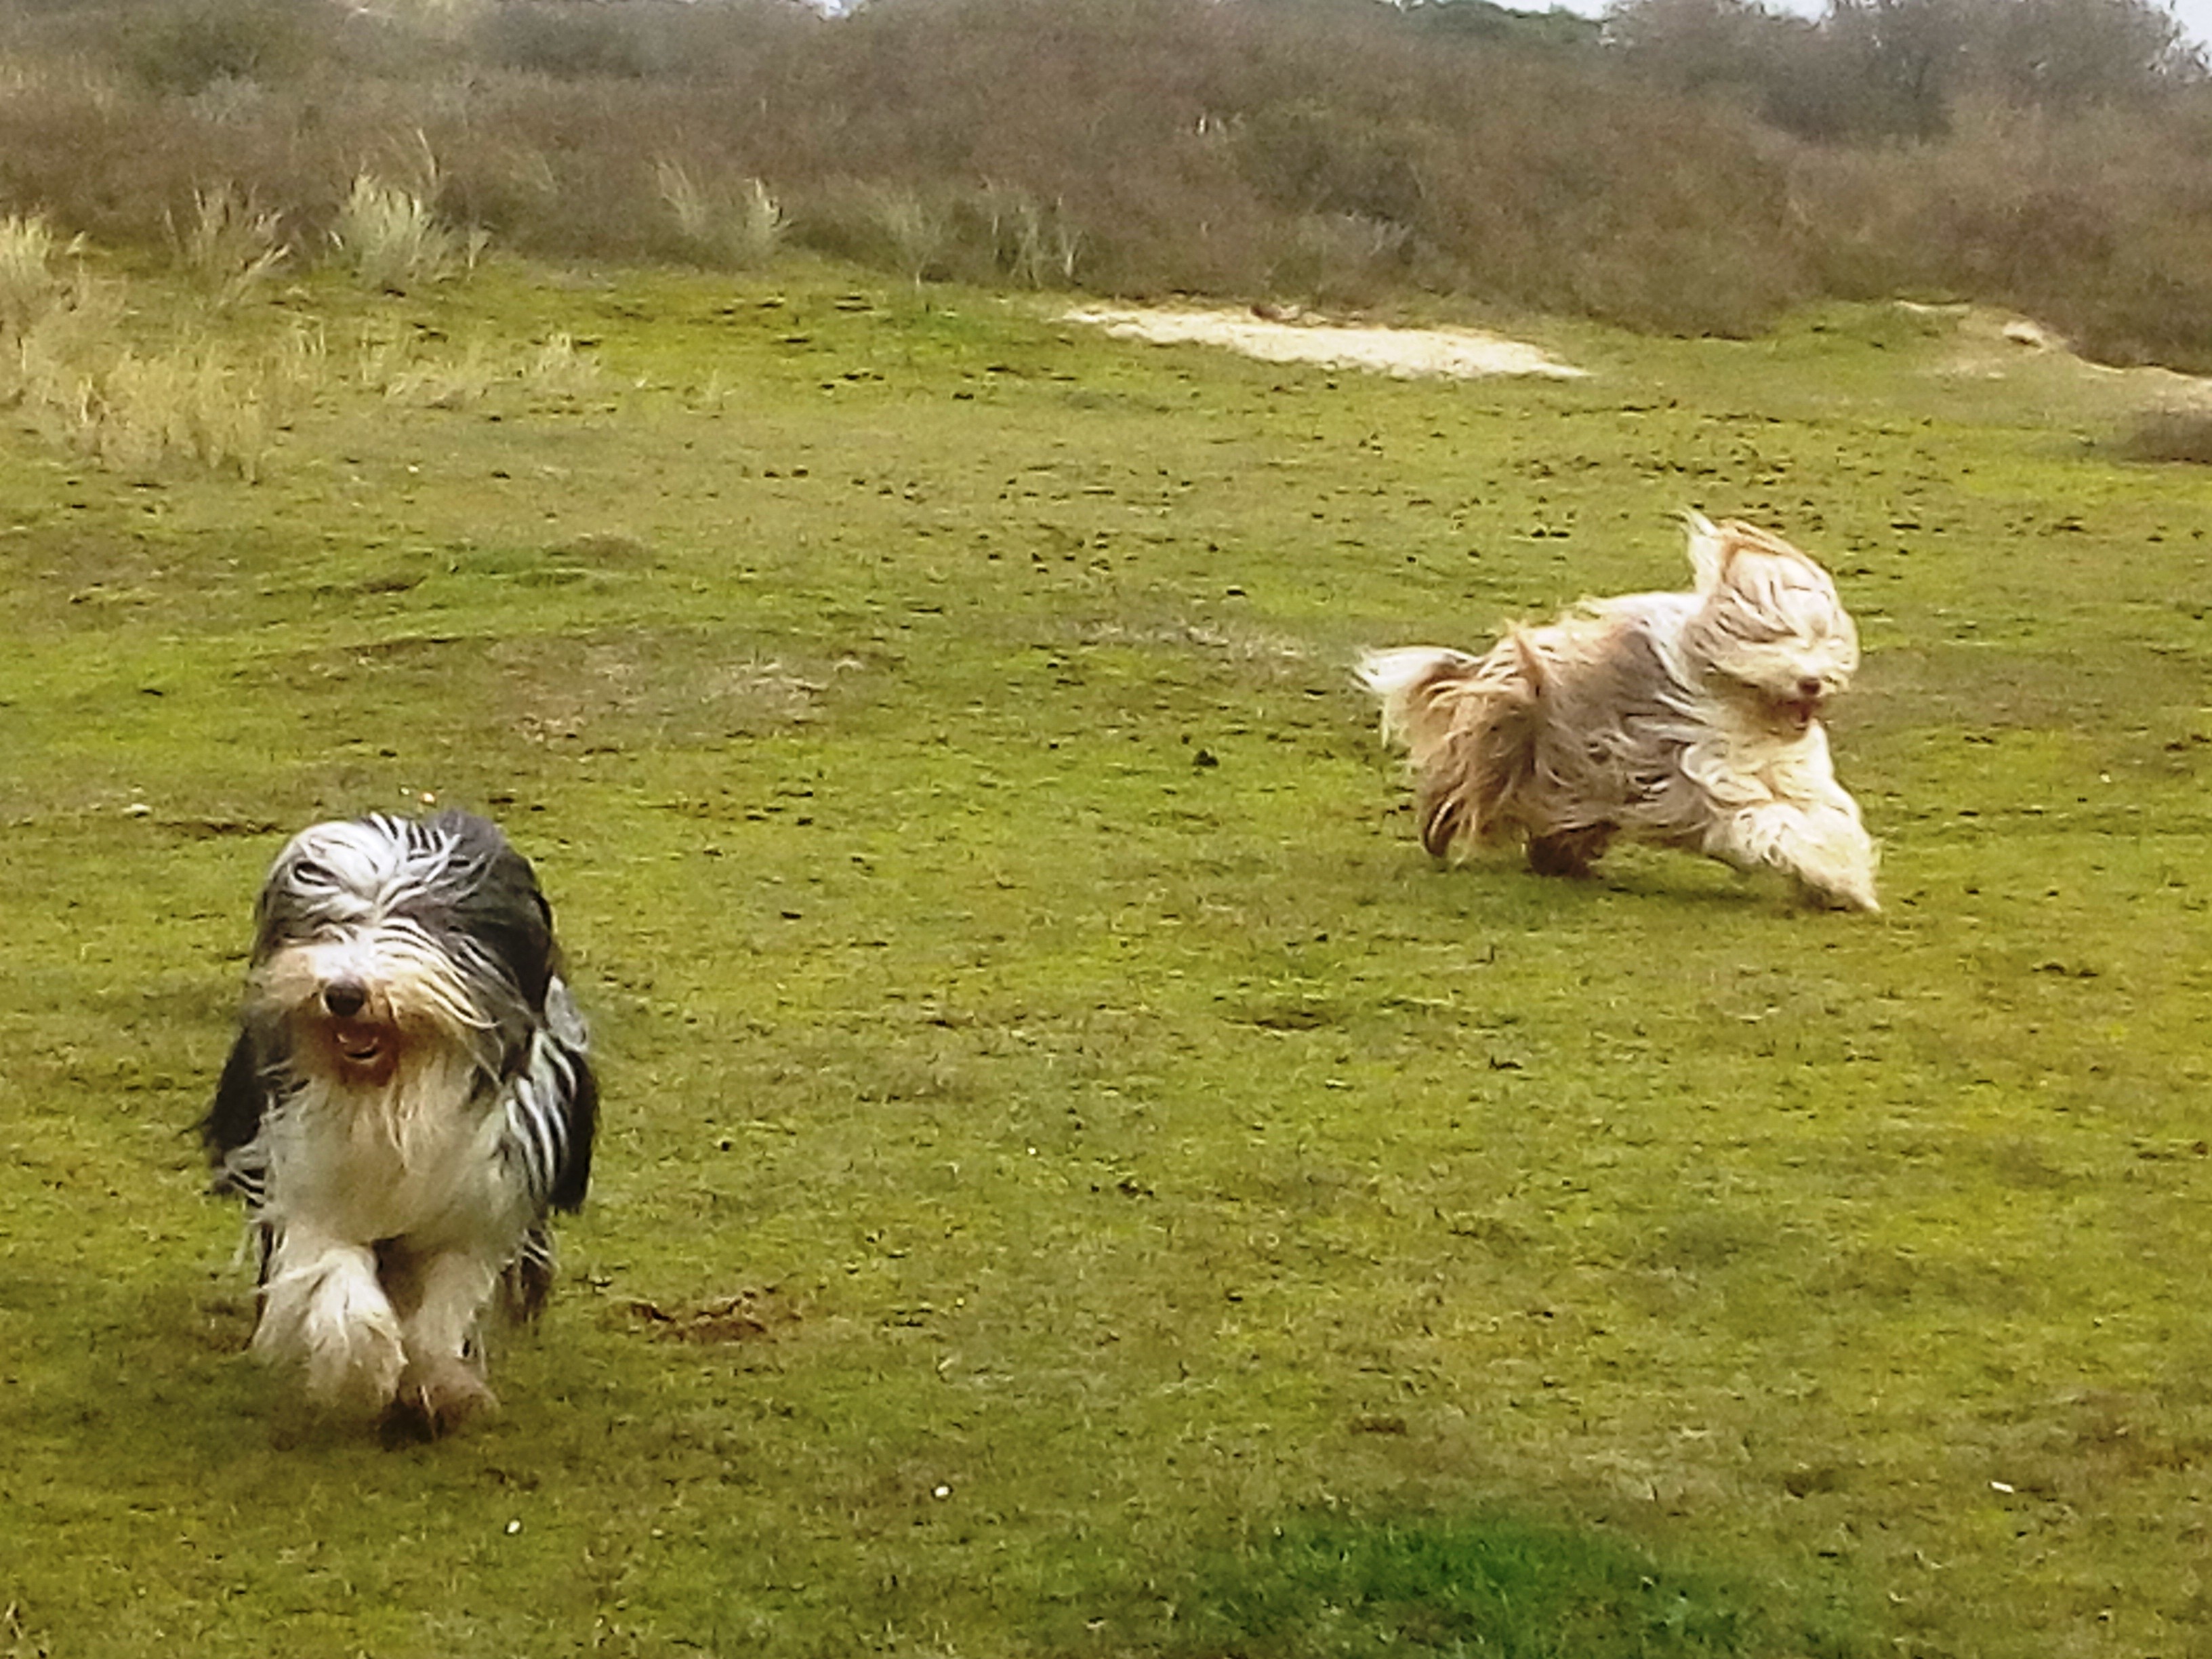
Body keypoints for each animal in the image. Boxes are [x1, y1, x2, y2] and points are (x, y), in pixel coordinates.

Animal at [198, 814, 592, 1433]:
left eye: (430, 922)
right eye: (328, 922)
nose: (344, 994)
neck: (391, 1090)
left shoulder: (479, 1210)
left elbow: (442, 1313)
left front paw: (439, 1387)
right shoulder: (310, 1180)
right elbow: (341, 1284)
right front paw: (367, 1374)